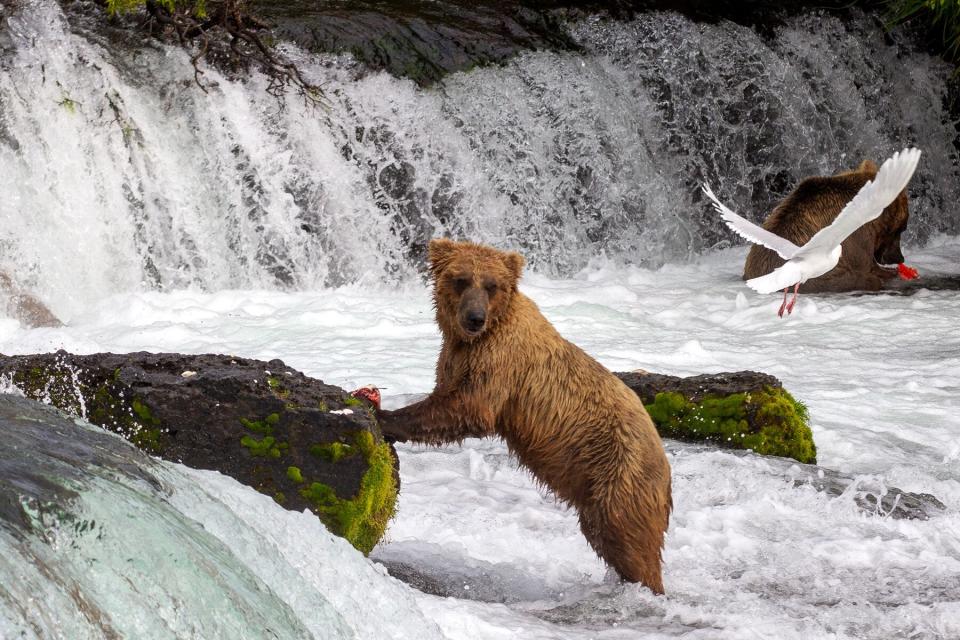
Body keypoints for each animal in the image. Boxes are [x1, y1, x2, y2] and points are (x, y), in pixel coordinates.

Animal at [378, 238, 672, 592]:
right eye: (461, 279)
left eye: (491, 285)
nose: (474, 318)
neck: (480, 335)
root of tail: (665, 462)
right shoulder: (456, 358)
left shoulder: (500, 360)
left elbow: (469, 407)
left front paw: (383, 414)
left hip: (620, 478)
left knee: (627, 541)